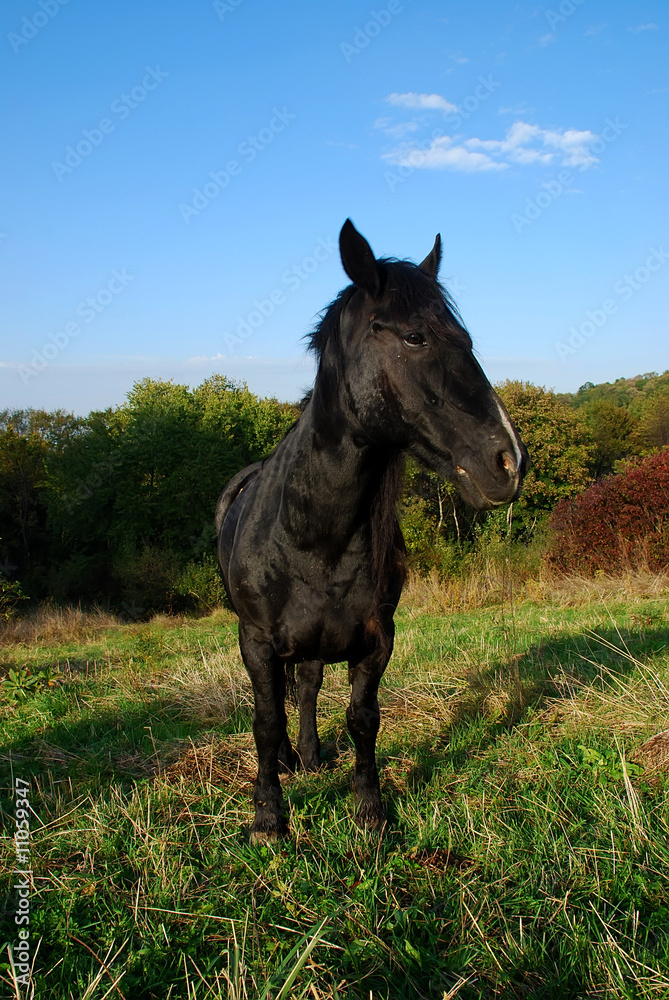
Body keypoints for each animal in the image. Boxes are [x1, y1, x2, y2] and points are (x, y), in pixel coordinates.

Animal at [216, 219, 528, 842]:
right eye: (414, 337)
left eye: (467, 338)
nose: (508, 461)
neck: (313, 539)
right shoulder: (256, 641)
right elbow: (265, 722)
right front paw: (268, 816)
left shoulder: (377, 638)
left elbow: (362, 719)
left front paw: (370, 811)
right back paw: (288, 762)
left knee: (307, 687)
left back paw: (310, 757)